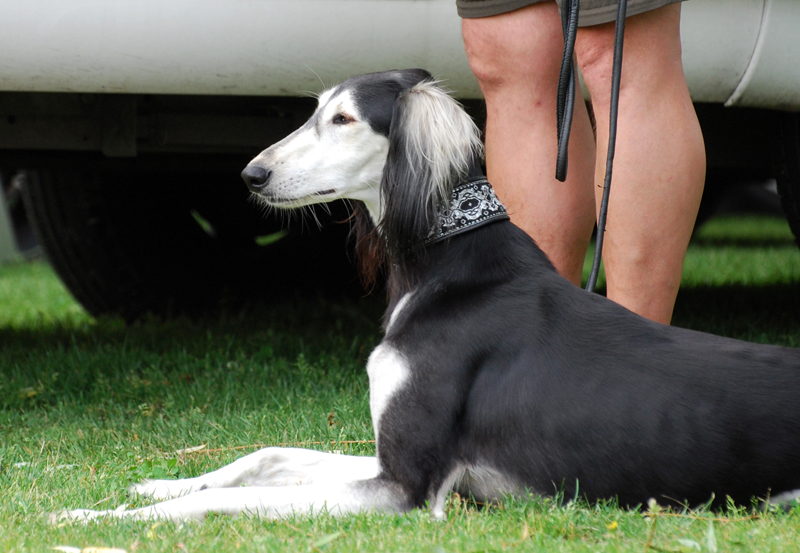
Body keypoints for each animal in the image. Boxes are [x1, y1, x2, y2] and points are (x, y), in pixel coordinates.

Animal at [58, 69, 800, 522]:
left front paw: (101, 515)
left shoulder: (403, 488)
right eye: (314, 112)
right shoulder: (396, 458)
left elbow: (230, 501)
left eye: (344, 119)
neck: (451, 269)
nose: (252, 174)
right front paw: (158, 482)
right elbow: (265, 455)